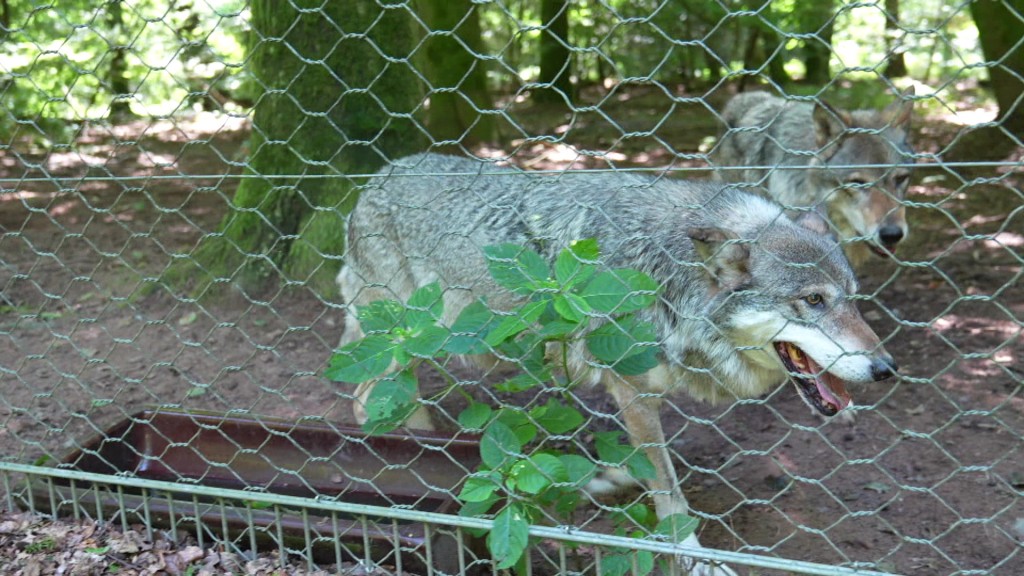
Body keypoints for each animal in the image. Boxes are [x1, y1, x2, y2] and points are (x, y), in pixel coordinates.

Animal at [335, 152, 897, 573]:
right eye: (814, 301)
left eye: (852, 298)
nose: (886, 368)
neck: (669, 274)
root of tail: (375, 179)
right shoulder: (633, 390)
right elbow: (669, 492)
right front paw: (697, 560)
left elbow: (647, 467)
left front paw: (611, 477)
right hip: (407, 341)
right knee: (366, 400)